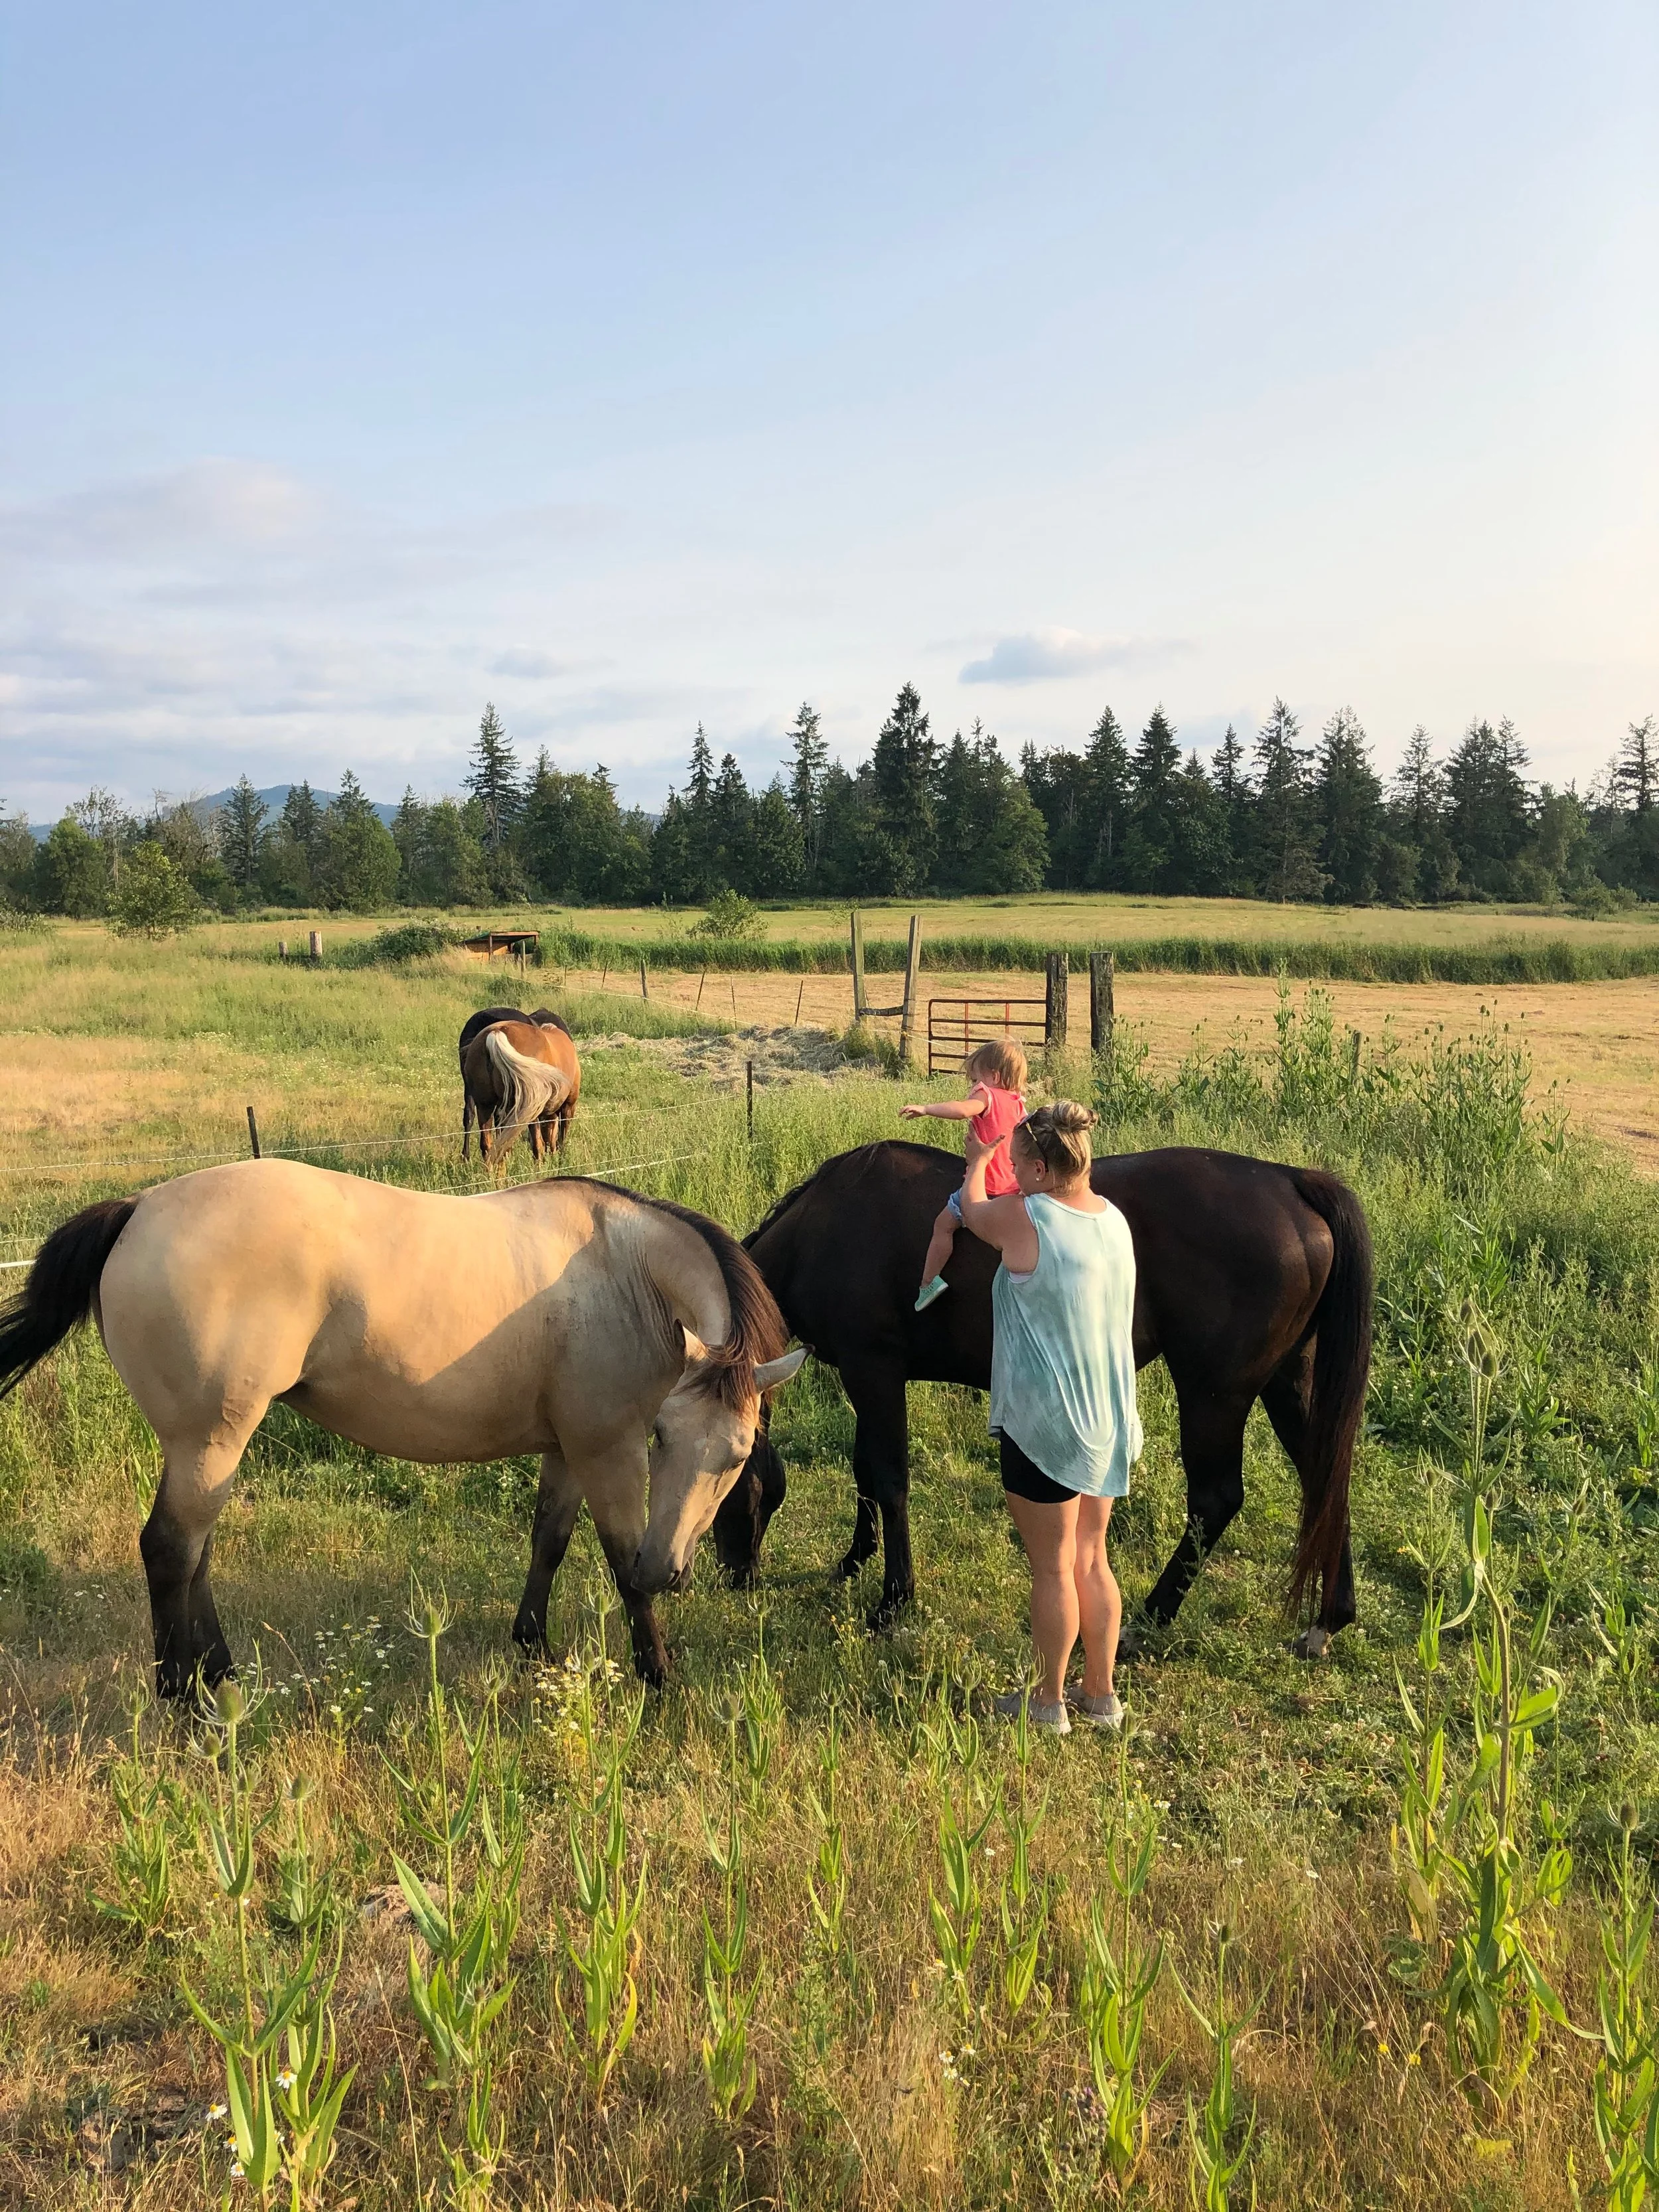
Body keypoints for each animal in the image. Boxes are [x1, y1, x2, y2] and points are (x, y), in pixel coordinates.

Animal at [0, 1162, 807, 1694]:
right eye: (665, 1437)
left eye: (734, 1456)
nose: (668, 1572)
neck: (624, 1270)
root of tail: (138, 1208)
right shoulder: (608, 1451)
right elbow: (615, 1556)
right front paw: (657, 1672)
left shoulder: (568, 1450)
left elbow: (548, 1540)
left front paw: (533, 1647)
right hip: (209, 1443)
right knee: (170, 1552)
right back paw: (184, 1700)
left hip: (209, 1452)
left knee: (195, 1556)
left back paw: (222, 1679)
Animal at [461, 1016, 582, 1165]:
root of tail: (496, 1033)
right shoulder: (568, 1106)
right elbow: (560, 1140)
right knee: (537, 1146)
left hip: (485, 1106)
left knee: (487, 1146)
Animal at [711, 1140, 1373, 1655]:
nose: (735, 1576)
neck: (827, 1225)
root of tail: (1291, 1179)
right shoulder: (864, 1375)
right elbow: (865, 1471)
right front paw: (853, 1561)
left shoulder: (873, 1369)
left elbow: (890, 1478)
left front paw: (892, 1601)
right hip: (1285, 1381)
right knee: (1325, 1478)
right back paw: (1327, 1621)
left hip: (1215, 1393)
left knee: (1216, 1500)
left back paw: (1146, 1621)